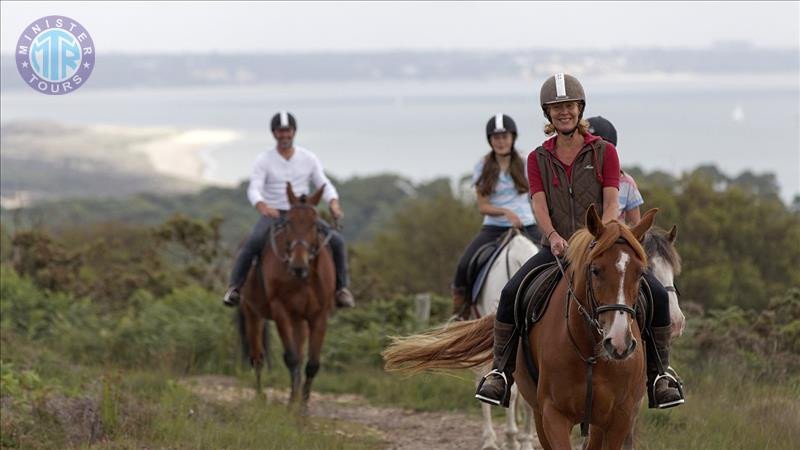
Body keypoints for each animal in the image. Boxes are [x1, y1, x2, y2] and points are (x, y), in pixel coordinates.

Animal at [239, 183, 336, 412]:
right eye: (289, 222)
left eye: (315, 224)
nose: (298, 265)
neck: (304, 279)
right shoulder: (280, 312)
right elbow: (291, 359)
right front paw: (292, 405)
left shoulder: (319, 317)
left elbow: (311, 363)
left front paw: (303, 407)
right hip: (252, 314)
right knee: (257, 357)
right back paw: (260, 397)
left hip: (299, 321)